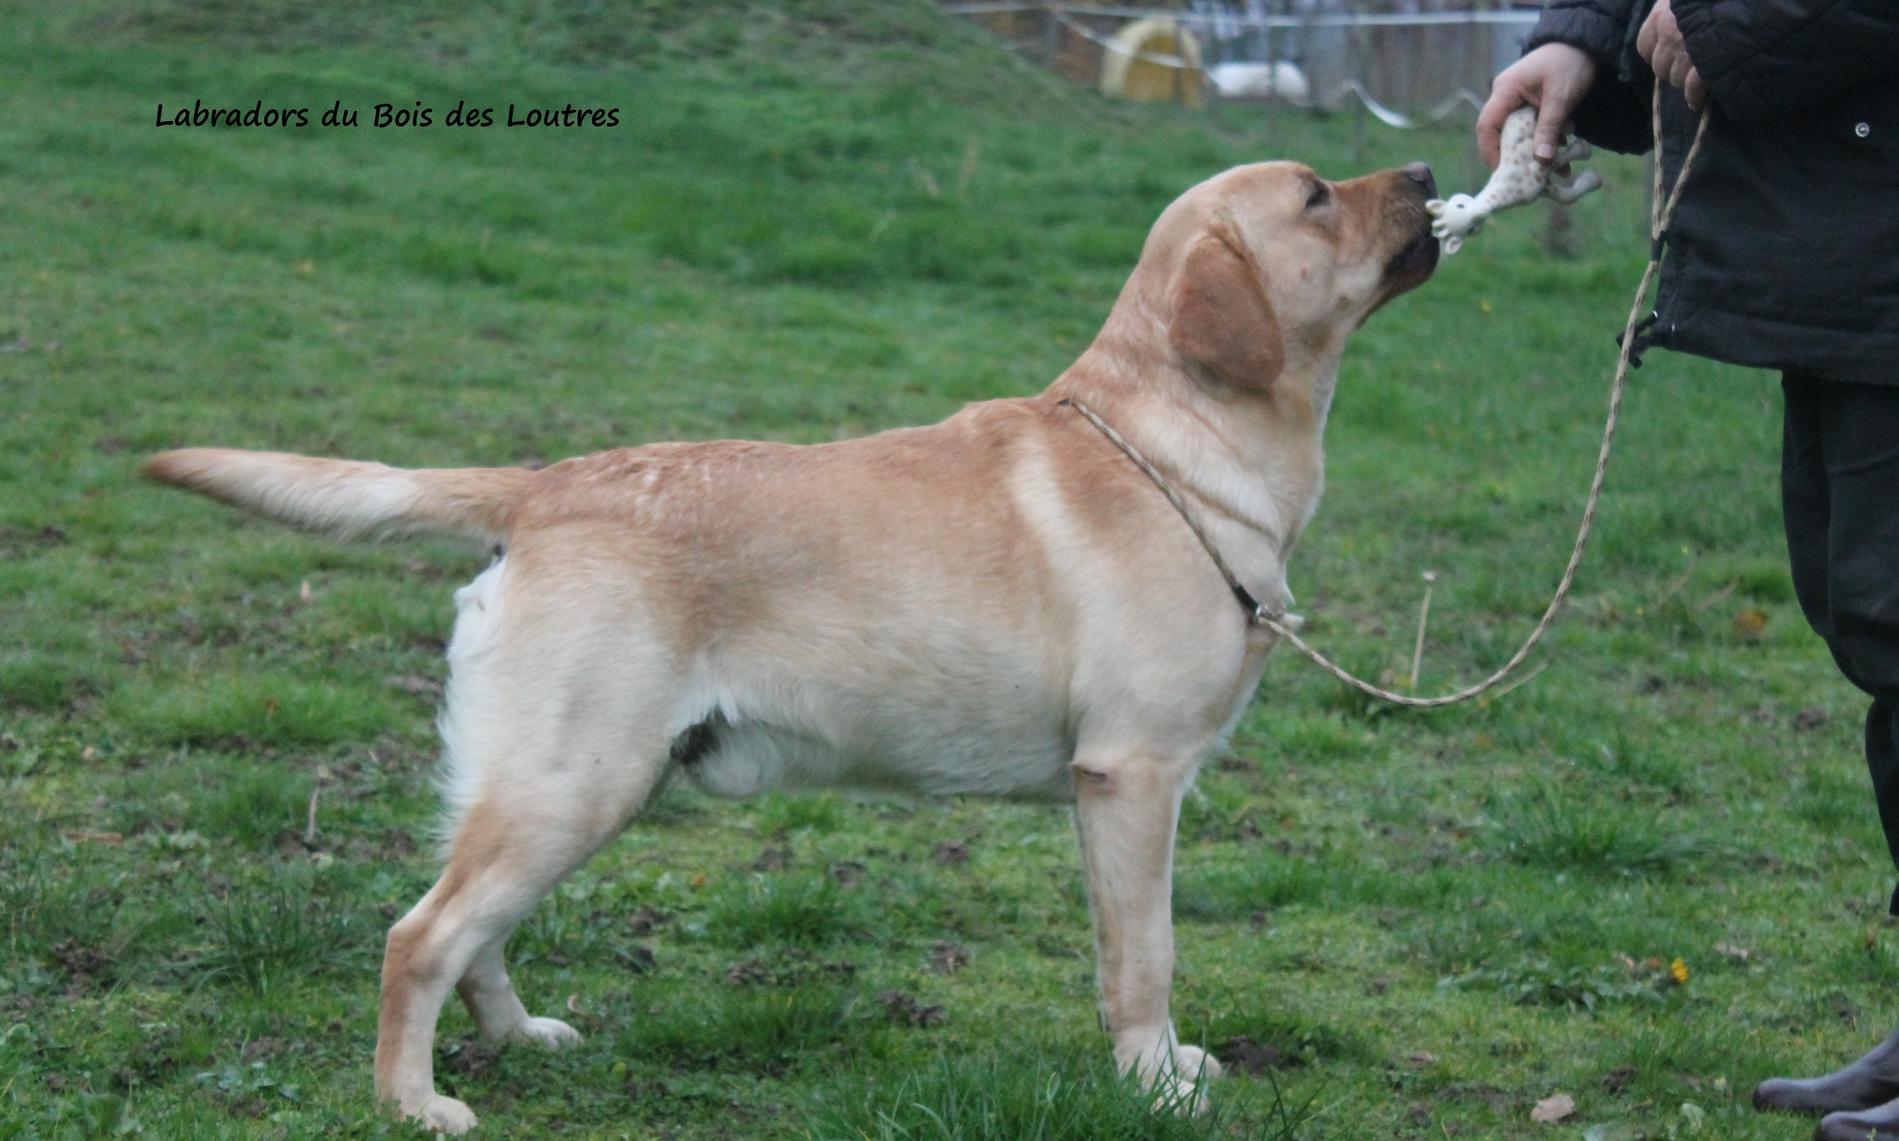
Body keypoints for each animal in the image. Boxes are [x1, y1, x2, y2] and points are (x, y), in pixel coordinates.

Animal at [140, 160, 1435, 1131]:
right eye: (1317, 196)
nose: (1427, 171)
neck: (1173, 443)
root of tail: (544, 483)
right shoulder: (1132, 774)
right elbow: (1145, 958)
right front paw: (1157, 1084)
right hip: (576, 781)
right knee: (420, 936)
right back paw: (413, 1104)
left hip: (563, 784)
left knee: (472, 930)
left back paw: (517, 1038)